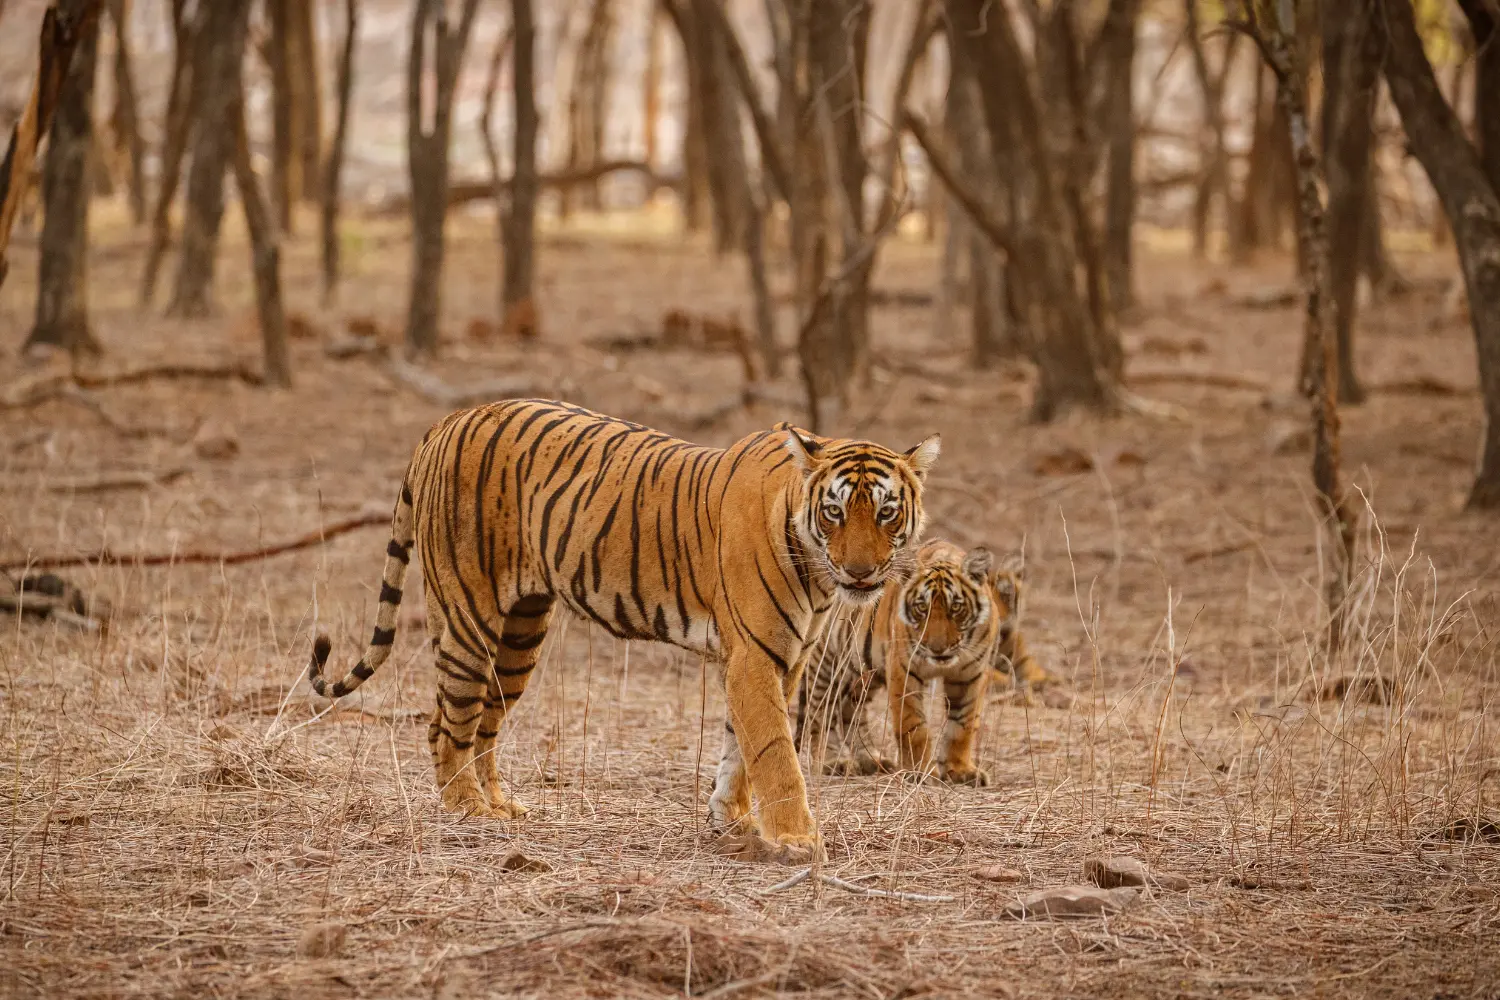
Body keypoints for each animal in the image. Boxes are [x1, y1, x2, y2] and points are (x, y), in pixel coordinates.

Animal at [307, 401, 936, 863]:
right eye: (835, 512)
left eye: (885, 512)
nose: (861, 572)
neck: (814, 566)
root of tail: (447, 420)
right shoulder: (756, 656)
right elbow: (775, 749)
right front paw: (797, 839)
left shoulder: (782, 657)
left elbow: (740, 745)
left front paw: (729, 822)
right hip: (469, 617)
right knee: (447, 722)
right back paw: (467, 809)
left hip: (519, 635)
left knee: (480, 722)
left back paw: (502, 806)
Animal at [798, 536, 1044, 785]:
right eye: (922, 608)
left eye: (956, 607)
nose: (938, 648)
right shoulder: (904, 669)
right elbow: (913, 725)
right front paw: (920, 773)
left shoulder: (971, 674)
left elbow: (963, 724)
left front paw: (961, 770)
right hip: (827, 661)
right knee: (819, 713)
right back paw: (832, 761)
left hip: (865, 671)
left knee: (850, 709)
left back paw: (871, 759)